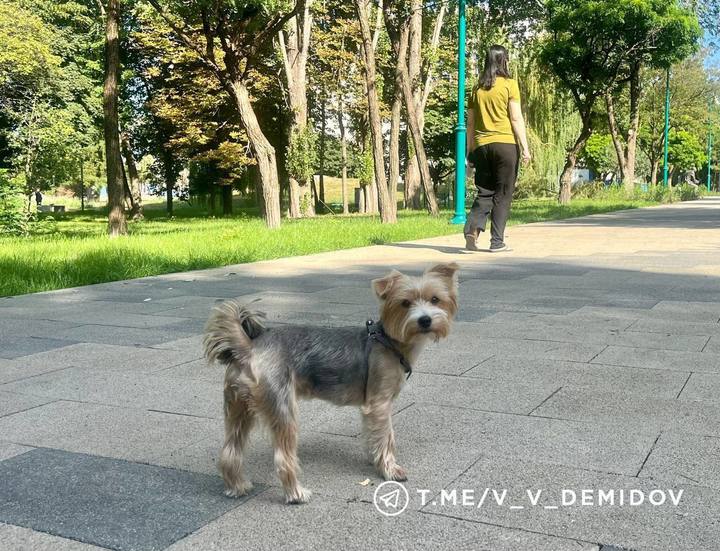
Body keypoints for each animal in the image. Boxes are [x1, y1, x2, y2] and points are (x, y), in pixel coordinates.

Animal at [202, 264, 458, 504]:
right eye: (405, 303)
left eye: (435, 299)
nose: (425, 319)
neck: (389, 341)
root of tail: (248, 348)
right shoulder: (380, 403)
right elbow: (387, 436)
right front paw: (390, 469)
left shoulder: (371, 409)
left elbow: (373, 433)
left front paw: (373, 457)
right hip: (280, 404)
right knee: (283, 458)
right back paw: (296, 493)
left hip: (238, 407)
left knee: (230, 451)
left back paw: (237, 487)